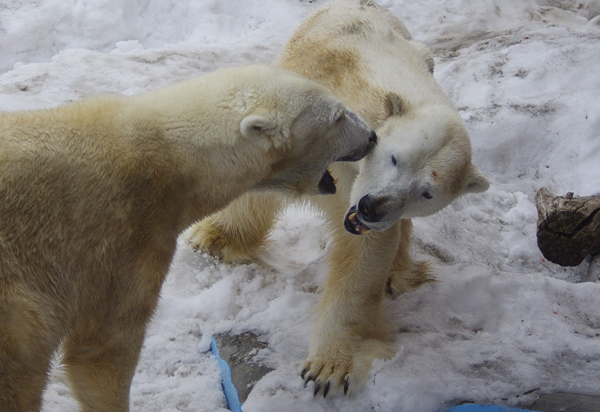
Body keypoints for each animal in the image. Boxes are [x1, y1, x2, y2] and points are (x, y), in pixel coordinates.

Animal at [185, 0, 490, 400]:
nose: (372, 207)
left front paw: (328, 370)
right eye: (394, 157)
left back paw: (399, 274)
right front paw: (212, 239)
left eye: (427, 193)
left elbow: (364, 255)